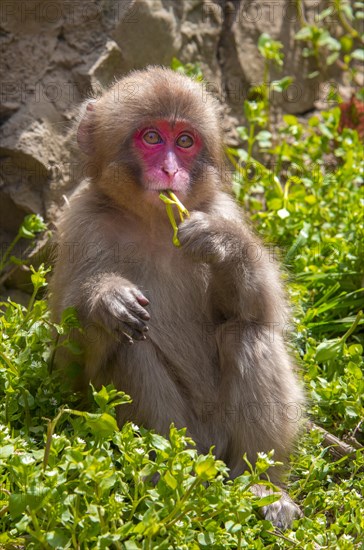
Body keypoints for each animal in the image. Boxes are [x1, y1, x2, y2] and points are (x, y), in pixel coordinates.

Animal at [49, 67, 304, 532]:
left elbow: (263, 312)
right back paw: (166, 475)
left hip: (223, 437)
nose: (170, 170)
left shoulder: (221, 208)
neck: (153, 223)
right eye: (151, 137)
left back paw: (261, 484)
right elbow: (65, 368)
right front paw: (106, 301)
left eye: (185, 141)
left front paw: (224, 244)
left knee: (247, 333)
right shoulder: (80, 224)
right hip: (187, 434)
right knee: (130, 345)